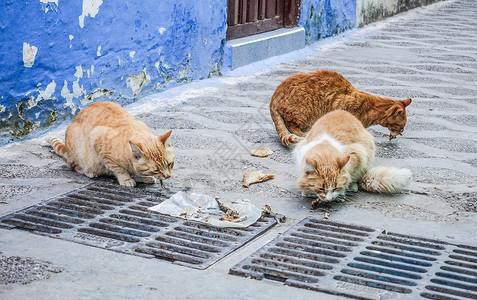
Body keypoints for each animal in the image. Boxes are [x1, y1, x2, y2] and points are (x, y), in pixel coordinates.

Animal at [47, 103, 175, 188]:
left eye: (169, 164)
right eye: (156, 170)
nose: (168, 176)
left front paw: (145, 177)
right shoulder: (99, 142)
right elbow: (119, 169)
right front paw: (127, 179)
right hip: (80, 154)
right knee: (74, 166)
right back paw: (89, 172)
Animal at [270, 69, 410, 146]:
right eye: (401, 125)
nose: (402, 132)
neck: (370, 108)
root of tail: (274, 97)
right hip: (304, 111)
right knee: (291, 125)